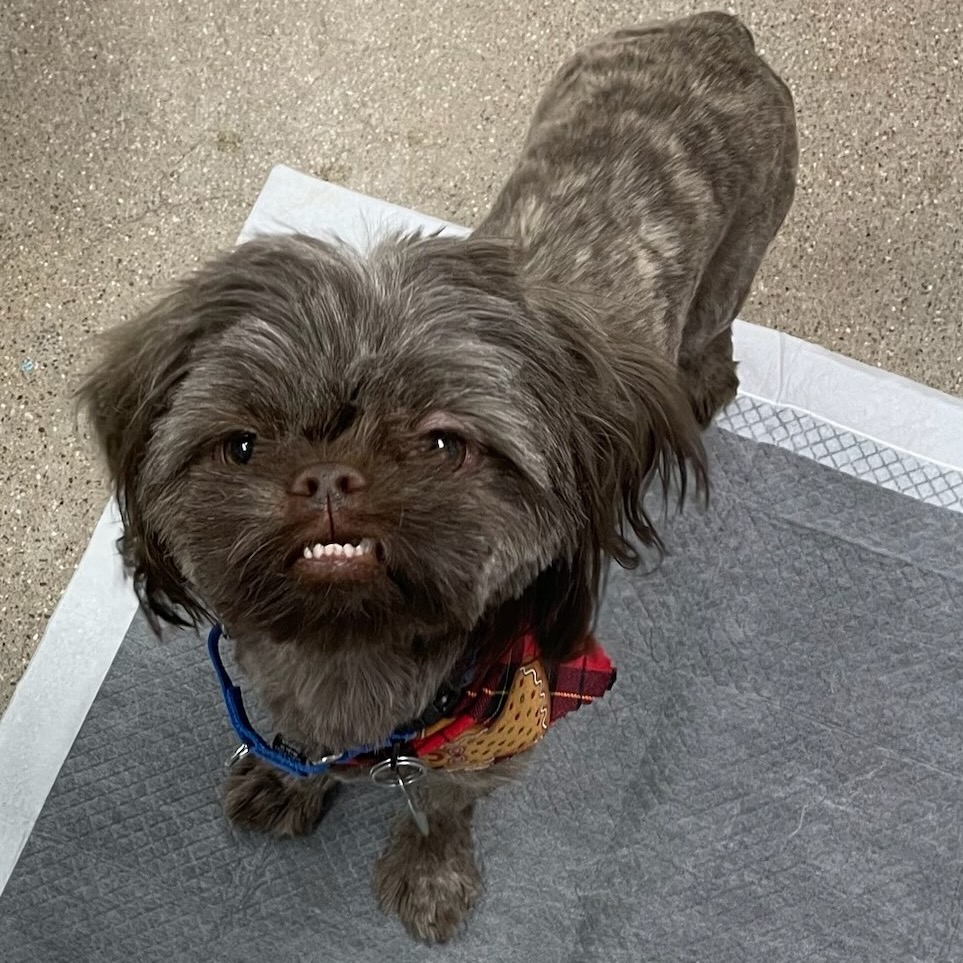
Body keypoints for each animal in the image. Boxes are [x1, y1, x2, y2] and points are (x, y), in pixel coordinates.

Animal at [79, 12, 796, 943]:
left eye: (443, 443)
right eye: (241, 444)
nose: (329, 476)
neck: (353, 660)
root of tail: (716, 32)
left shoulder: (500, 727)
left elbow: (446, 804)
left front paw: (430, 872)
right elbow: (297, 736)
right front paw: (290, 774)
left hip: (739, 252)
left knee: (715, 329)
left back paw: (701, 382)